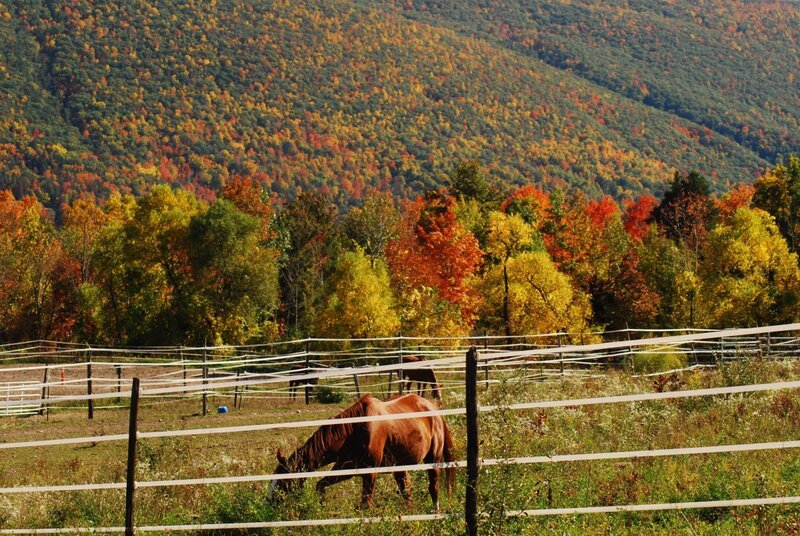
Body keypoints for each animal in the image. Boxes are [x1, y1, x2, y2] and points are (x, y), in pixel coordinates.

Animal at [267, 393, 455, 510]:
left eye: (282, 483)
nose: (269, 503)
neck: (354, 429)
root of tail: (433, 409)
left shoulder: (370, 472)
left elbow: (366, 504)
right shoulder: (345, 468)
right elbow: (321, 485)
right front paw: (322, 507)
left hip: (433, 459)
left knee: (433, 487)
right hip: (399, 468)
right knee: (406, 492)